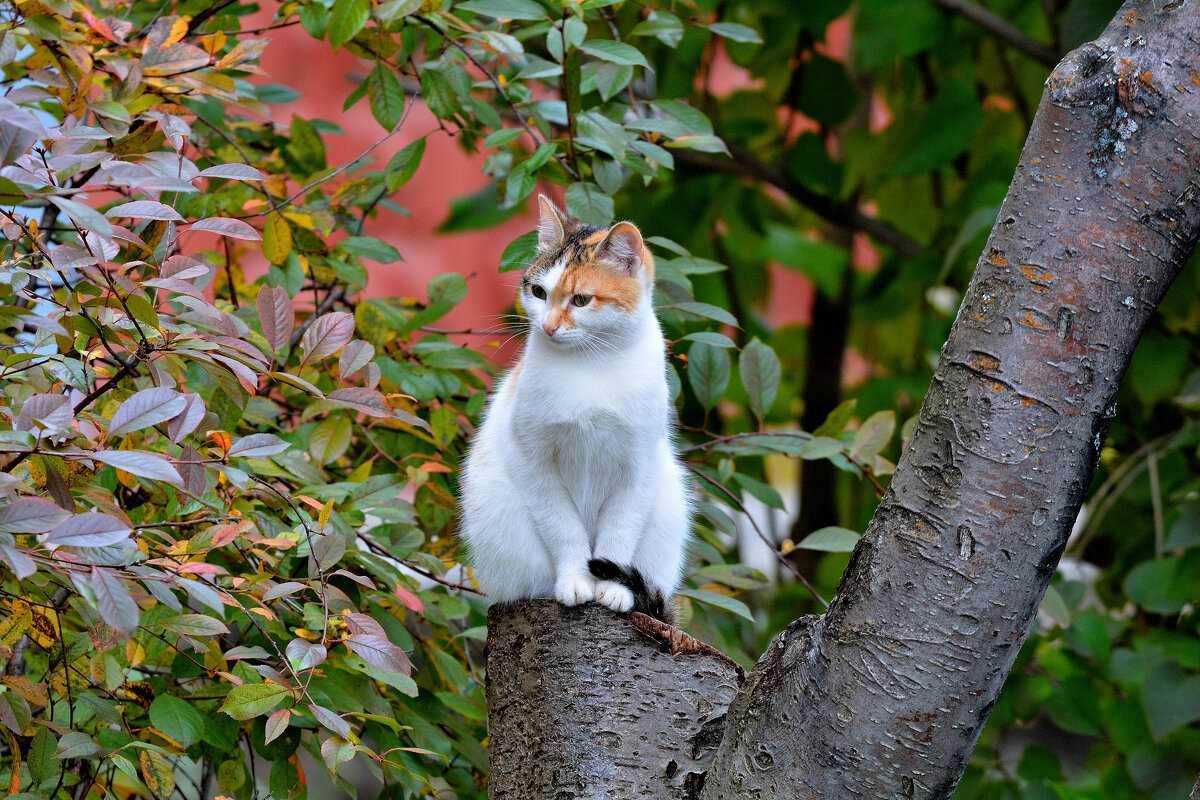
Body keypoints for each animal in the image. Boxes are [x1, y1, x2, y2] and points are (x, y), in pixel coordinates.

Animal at [460, 196, 696, 623]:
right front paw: (575, 581)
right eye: (539, 291)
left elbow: (618, 534)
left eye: (581, 300)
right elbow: (564, 529)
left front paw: (614, 590)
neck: (591, 366)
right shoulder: (534, 461)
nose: (549, 327)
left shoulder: (638, 466)